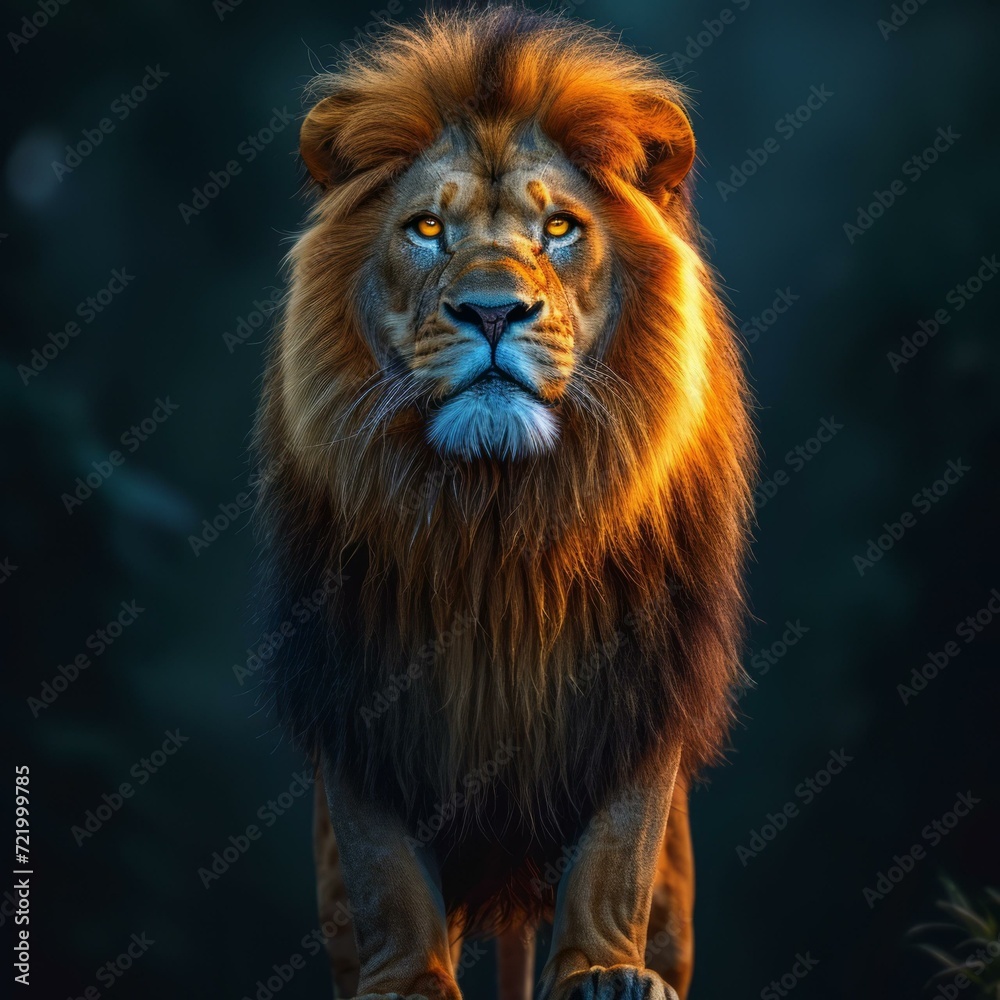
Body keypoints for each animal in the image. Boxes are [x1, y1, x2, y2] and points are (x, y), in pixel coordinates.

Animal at [254, 7, 754, 1000]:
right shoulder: (356, 680)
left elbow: (615, 855)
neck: (494, 516)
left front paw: (602, 970)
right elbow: (386, 874)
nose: (492, 312)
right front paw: (408, 983)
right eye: (427, 228)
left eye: (559, 226)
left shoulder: (641, 678)